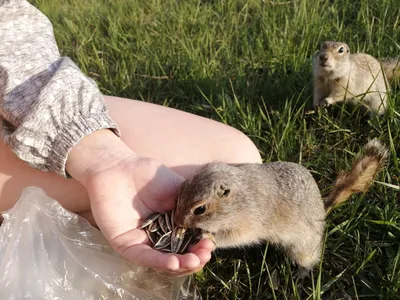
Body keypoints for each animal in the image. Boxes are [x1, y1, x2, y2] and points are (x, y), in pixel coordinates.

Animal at [174, 139, 388, 274]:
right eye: (182, 188)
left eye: (200, 209)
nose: (177, 221)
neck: (239, 199)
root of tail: (322, 212)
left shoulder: (248, 224)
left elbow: (234, 238)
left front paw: (206, 236)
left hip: (304, 248)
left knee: (310, 260)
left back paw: (301, 275)